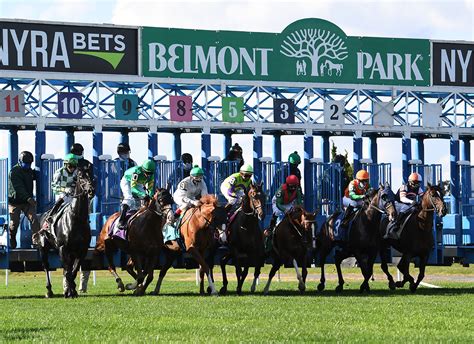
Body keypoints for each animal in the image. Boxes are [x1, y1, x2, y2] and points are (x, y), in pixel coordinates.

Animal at [39, 169, 95, 298]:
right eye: (81, 176)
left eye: (92, 175)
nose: (91, 190)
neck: (77, 218)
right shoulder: (63, 248)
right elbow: (68, 271)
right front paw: (69, 292)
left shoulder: (82, 250)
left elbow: (73, 271)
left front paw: (72, 290)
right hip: (43, 248)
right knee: (46, 267)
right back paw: (49, 291)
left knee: (66, 268)